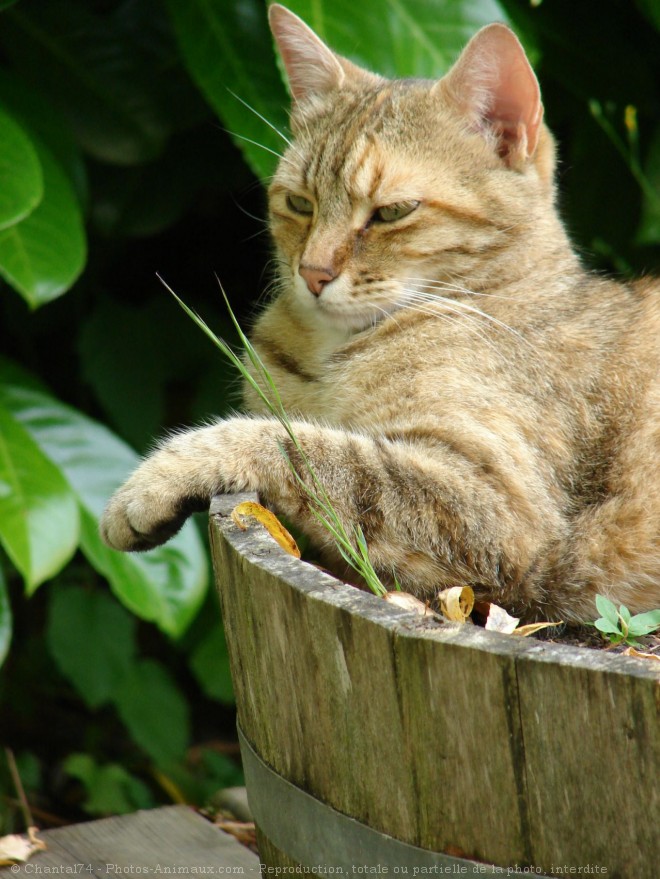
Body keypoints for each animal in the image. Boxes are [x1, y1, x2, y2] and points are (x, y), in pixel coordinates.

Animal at [99, 6, 660, 624]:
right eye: (299, 203)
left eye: (392, 212)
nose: (313, 272)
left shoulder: (494, 506)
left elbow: (293, 443)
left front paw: (152, 480)